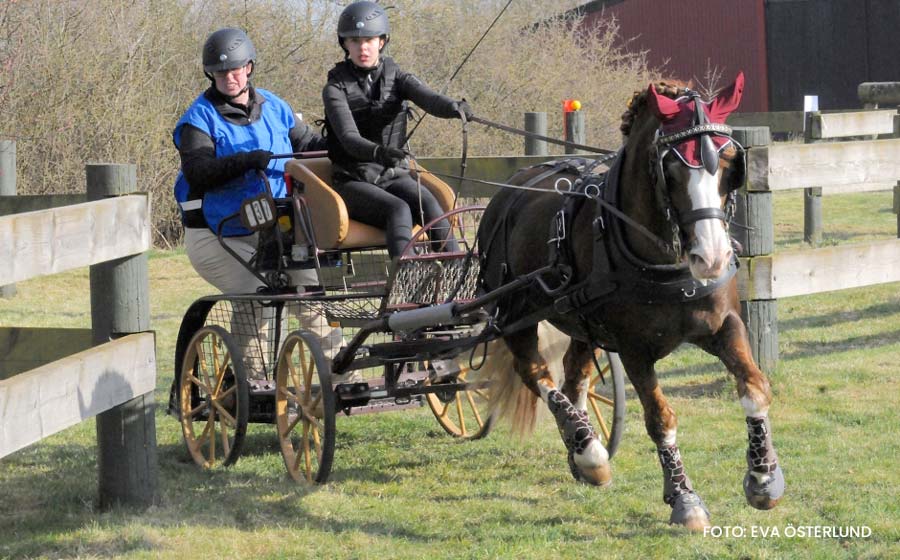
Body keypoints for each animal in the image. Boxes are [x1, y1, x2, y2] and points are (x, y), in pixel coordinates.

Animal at [478, 73, 780, 528]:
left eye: (729, 163)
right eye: (671, 167)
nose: (711, 258)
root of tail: (509, 190)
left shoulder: (725, 326)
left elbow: (754, 388)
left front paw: (763, 478)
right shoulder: (635, 349)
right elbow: (660, 418)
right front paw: (684, 499)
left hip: (578, 317)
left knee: (574, 374)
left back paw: (581, 450)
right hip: (515, 313)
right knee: (535, 373)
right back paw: (590, 453)